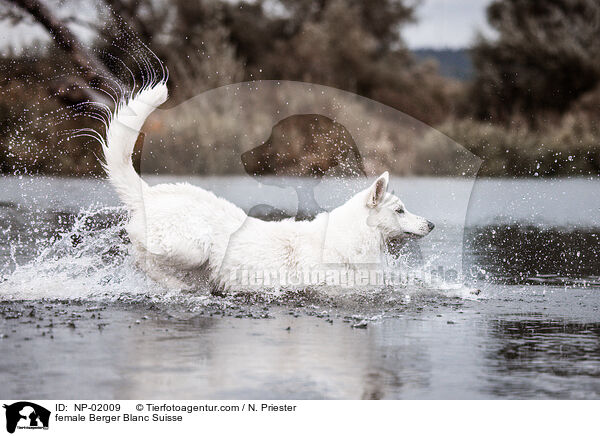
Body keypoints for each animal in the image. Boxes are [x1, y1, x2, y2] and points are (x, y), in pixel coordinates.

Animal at [101, 82, 434, 292]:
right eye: (400, 210)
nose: (431, 224)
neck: (351, 238)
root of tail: (150, 192)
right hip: (191, 248)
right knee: (142, 258)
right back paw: (176, 285)